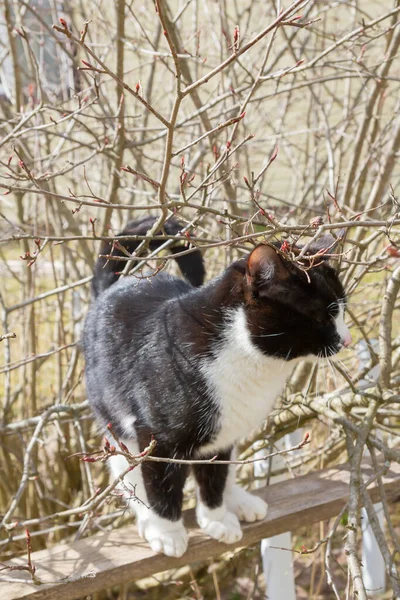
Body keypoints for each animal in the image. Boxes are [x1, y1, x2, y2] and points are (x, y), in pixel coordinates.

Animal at [83, 216, 352, 556]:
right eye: (323, 317)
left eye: (342, 309)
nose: (347, 340)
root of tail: (114, 285)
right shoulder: (158, 437)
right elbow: (161, 484)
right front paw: (168, 531)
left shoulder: (222, 435)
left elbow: (215, 475)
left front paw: (216, 519)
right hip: (115, 418)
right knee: (125, 465)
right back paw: (147, 518)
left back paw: (238, 501)